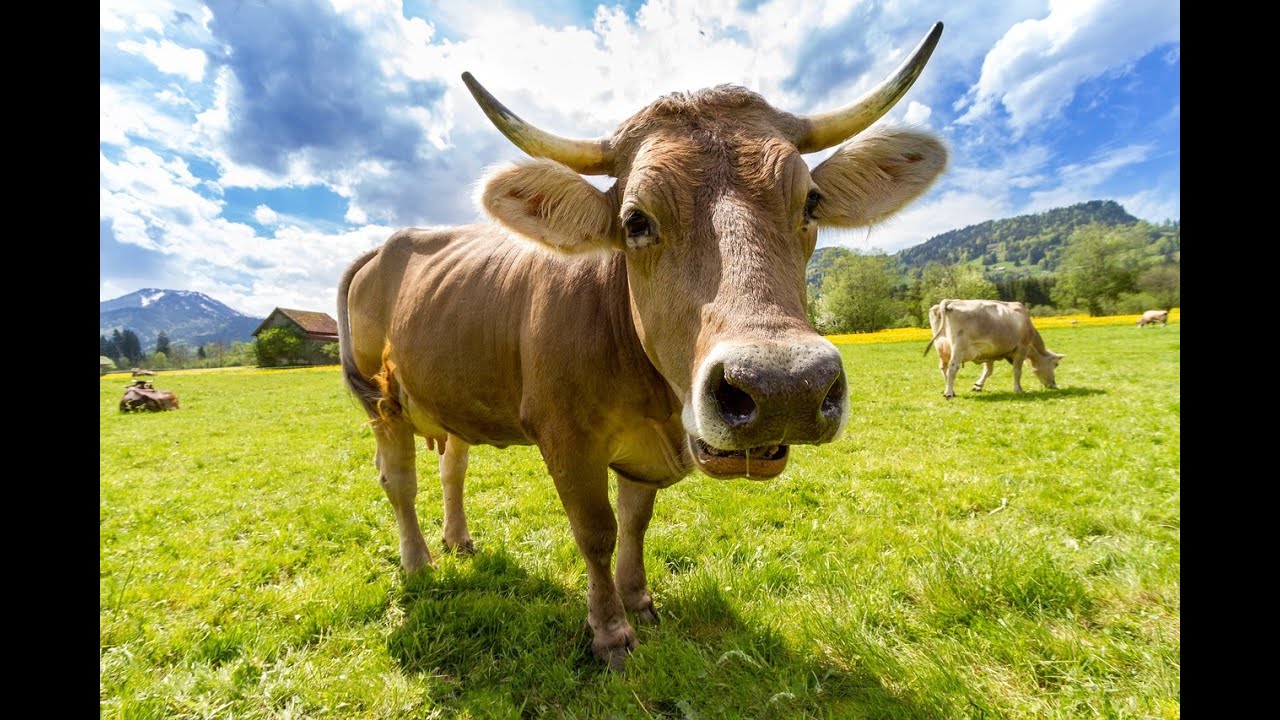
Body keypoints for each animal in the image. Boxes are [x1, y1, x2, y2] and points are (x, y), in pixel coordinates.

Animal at [338, 23, 948, 669]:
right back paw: (419, 562)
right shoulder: (565, 437)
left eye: (810, 202)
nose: (785, 387)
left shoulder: (642, 453)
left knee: (452, 465)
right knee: (399, 480)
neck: (654, 400)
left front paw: (640, 602)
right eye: (635, 220)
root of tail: (388, 244)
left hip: (449, 394)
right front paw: (610, 631)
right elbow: (596, 531)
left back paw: (458, 541)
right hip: (381, 402)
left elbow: (635, 523)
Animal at [924, 299, 1063, 399]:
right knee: (952, 367)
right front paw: (1018, 389)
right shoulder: (1021, 349)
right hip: (958, 347)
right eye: (1055, 365)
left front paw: (978, 386)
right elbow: (1017, 371)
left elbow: (988, 371)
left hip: (942, 347)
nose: (1054, 385)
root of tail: (950, 302)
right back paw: (948, 393)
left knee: (944, 368)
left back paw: (951, 390)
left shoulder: (988, 352)